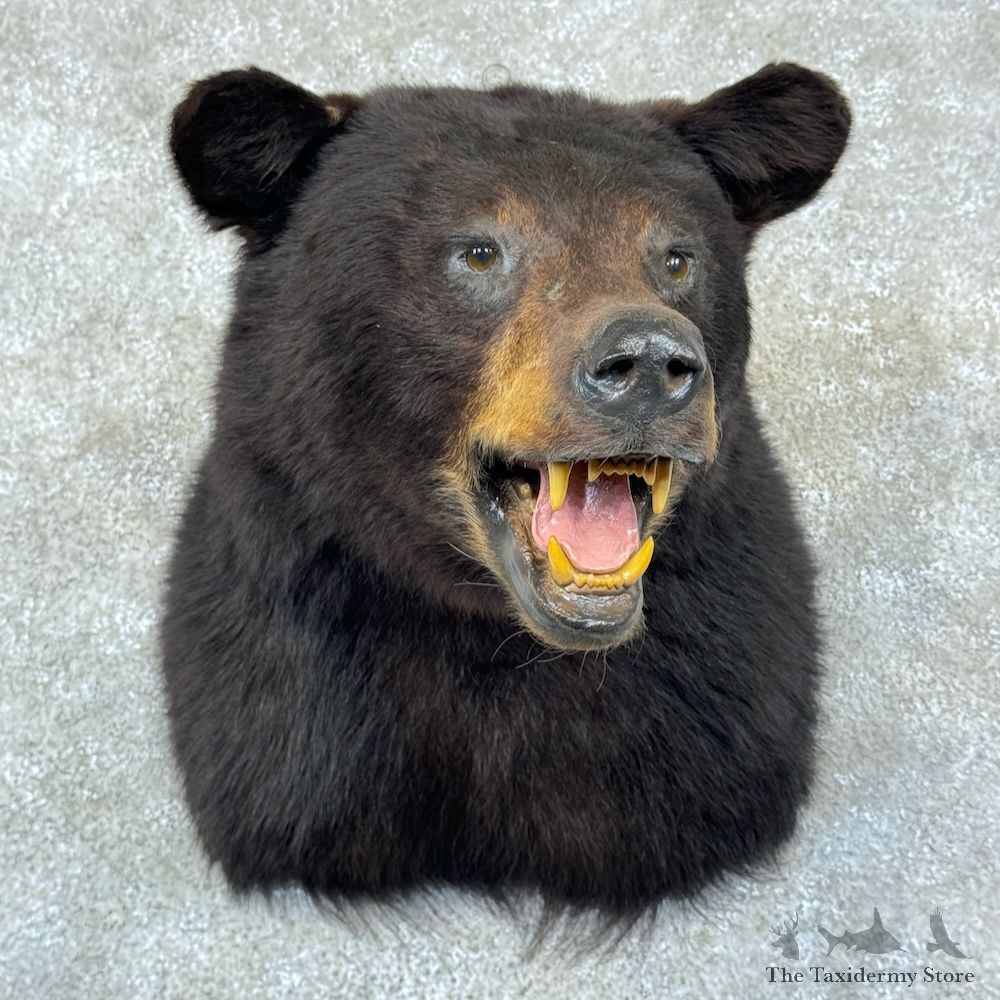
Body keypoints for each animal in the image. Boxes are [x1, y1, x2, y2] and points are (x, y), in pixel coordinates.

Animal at [161, 63, 850, 919]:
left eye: (677, 258)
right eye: (480, 253)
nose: (648, 360)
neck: (493, 635)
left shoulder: (719, 678)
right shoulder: (295, 685)